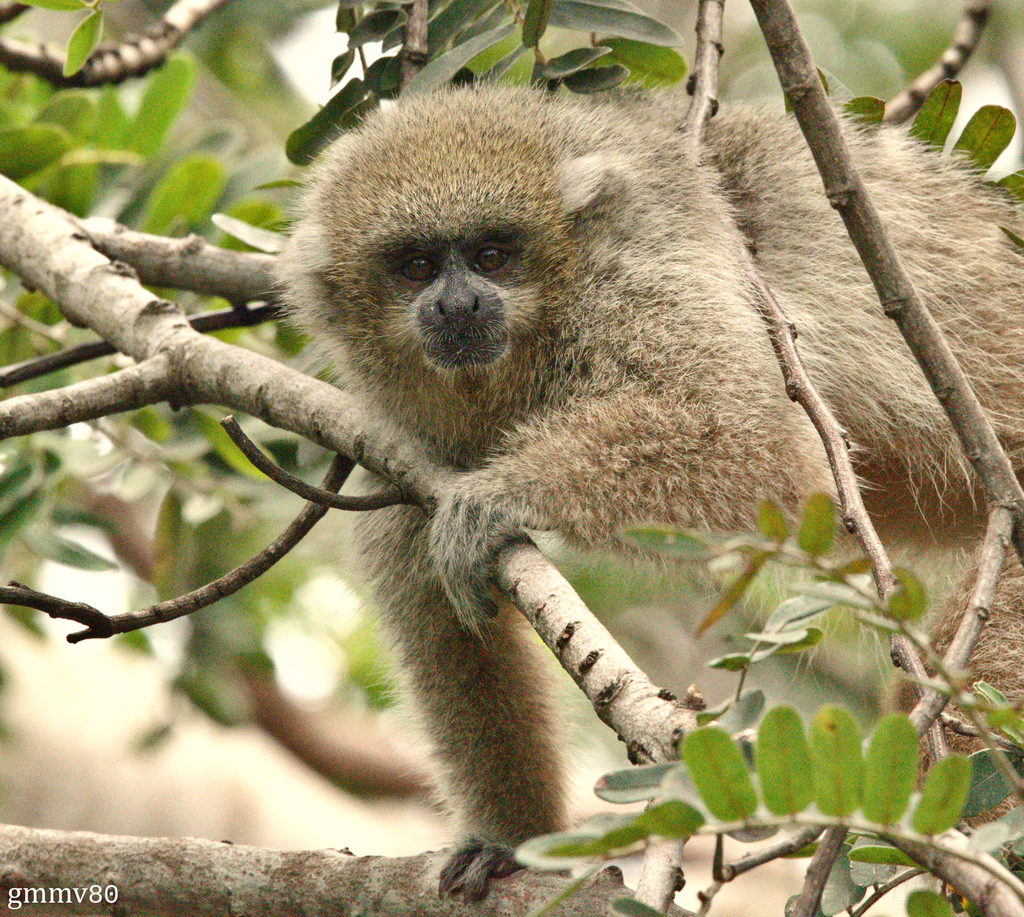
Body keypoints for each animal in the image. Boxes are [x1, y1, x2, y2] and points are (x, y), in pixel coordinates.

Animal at [277, 83, 1024, 899]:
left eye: (492, 255)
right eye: (414, 266)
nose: (458, 306)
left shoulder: (644, 275)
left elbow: (754, 439)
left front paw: (495, 498)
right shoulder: (402, 439)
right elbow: (430, 596)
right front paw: (512, 838)